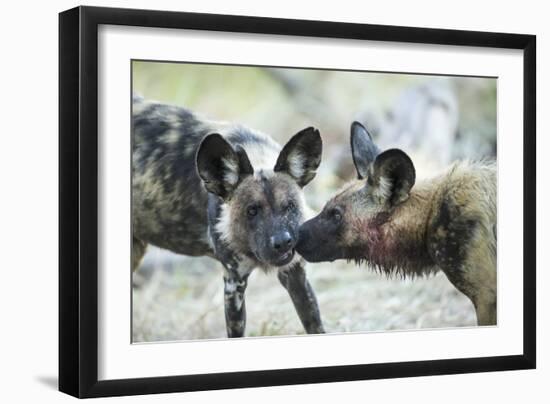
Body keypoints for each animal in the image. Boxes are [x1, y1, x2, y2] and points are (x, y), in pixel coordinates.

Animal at [132, 95, 326, 338]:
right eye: (251, 211)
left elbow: (315, 325)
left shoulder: (295, 274)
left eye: (289, 206)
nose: (282, 242)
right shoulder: (234, 284)